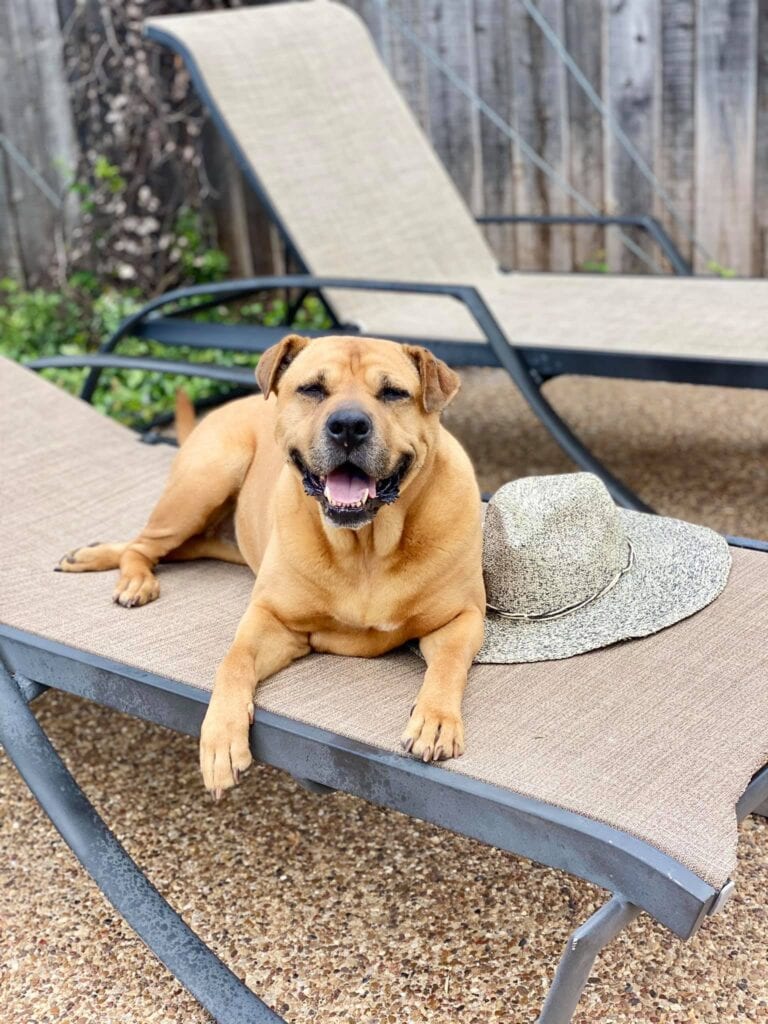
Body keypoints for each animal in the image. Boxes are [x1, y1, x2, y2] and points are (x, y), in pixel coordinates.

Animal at [57, 333, 483, 790]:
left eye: (393, 393)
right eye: (312, 388)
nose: (349, 426)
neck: (365, 546)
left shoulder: (462, 618)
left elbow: (448, 665)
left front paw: (435, 719)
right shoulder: (271, 620)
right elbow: (234, 661)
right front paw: (221, 737)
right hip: (202, 484)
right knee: (143, 544)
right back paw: (123, 572)